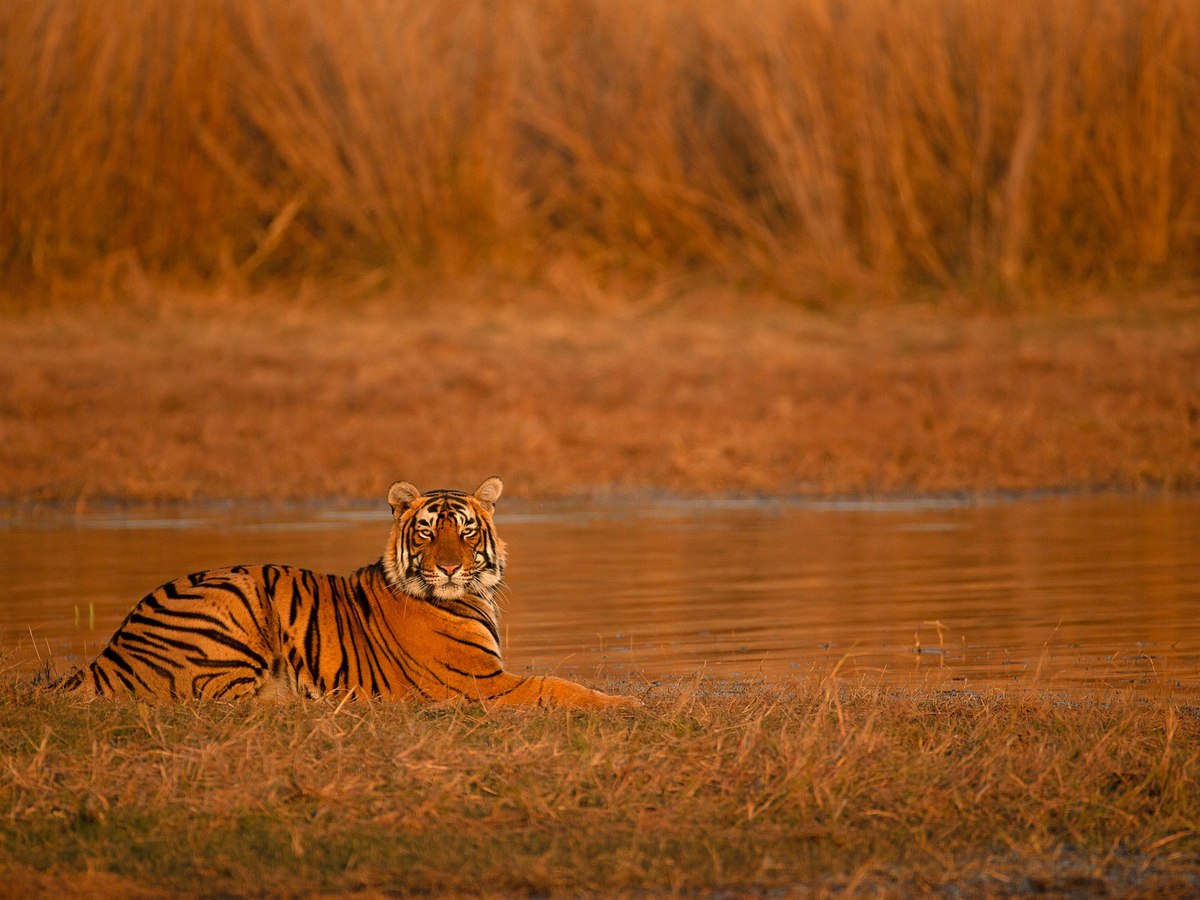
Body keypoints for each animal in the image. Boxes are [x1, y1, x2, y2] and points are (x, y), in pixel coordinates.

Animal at [55, 477, 637, 709]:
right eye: (427, 532)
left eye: (467, 531)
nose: (449, 567)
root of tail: (109, 652)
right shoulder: (481, 685)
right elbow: (556, 685)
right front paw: (629, 703)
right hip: (235, 600)